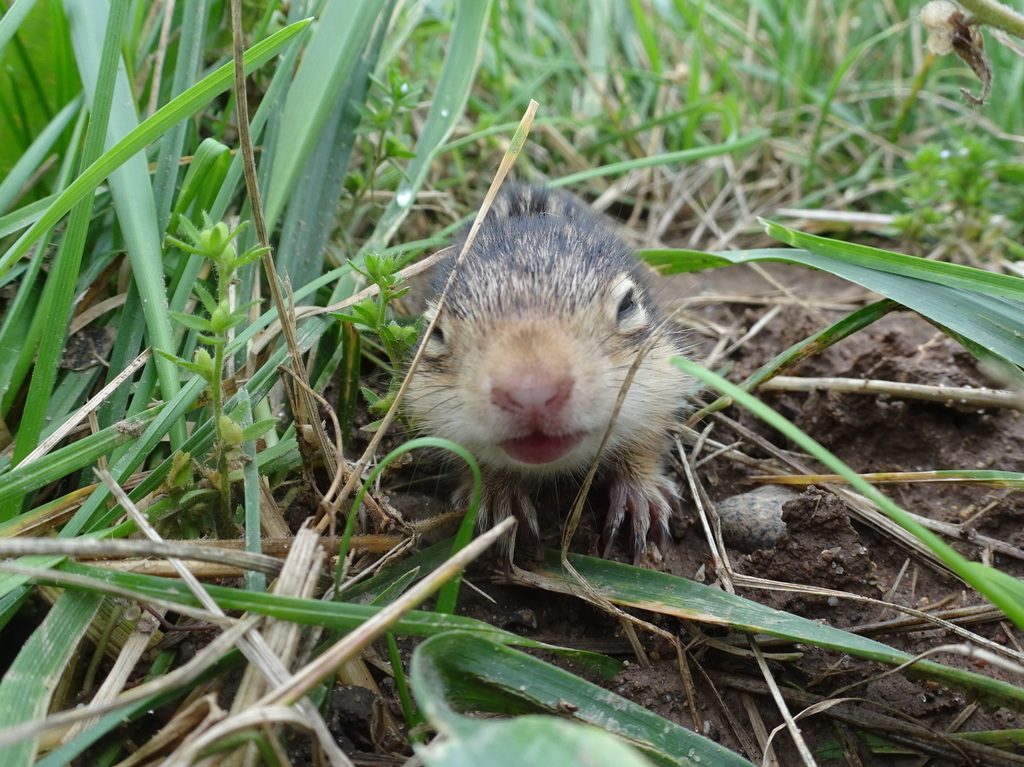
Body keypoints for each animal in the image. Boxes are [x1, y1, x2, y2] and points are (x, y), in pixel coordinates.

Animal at [405, 184, 693, 564]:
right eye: (435, 333)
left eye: (627, 305)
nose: (531, 394)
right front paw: (498, 499)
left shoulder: (660, 380)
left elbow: (646, 440)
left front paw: (640, 493)